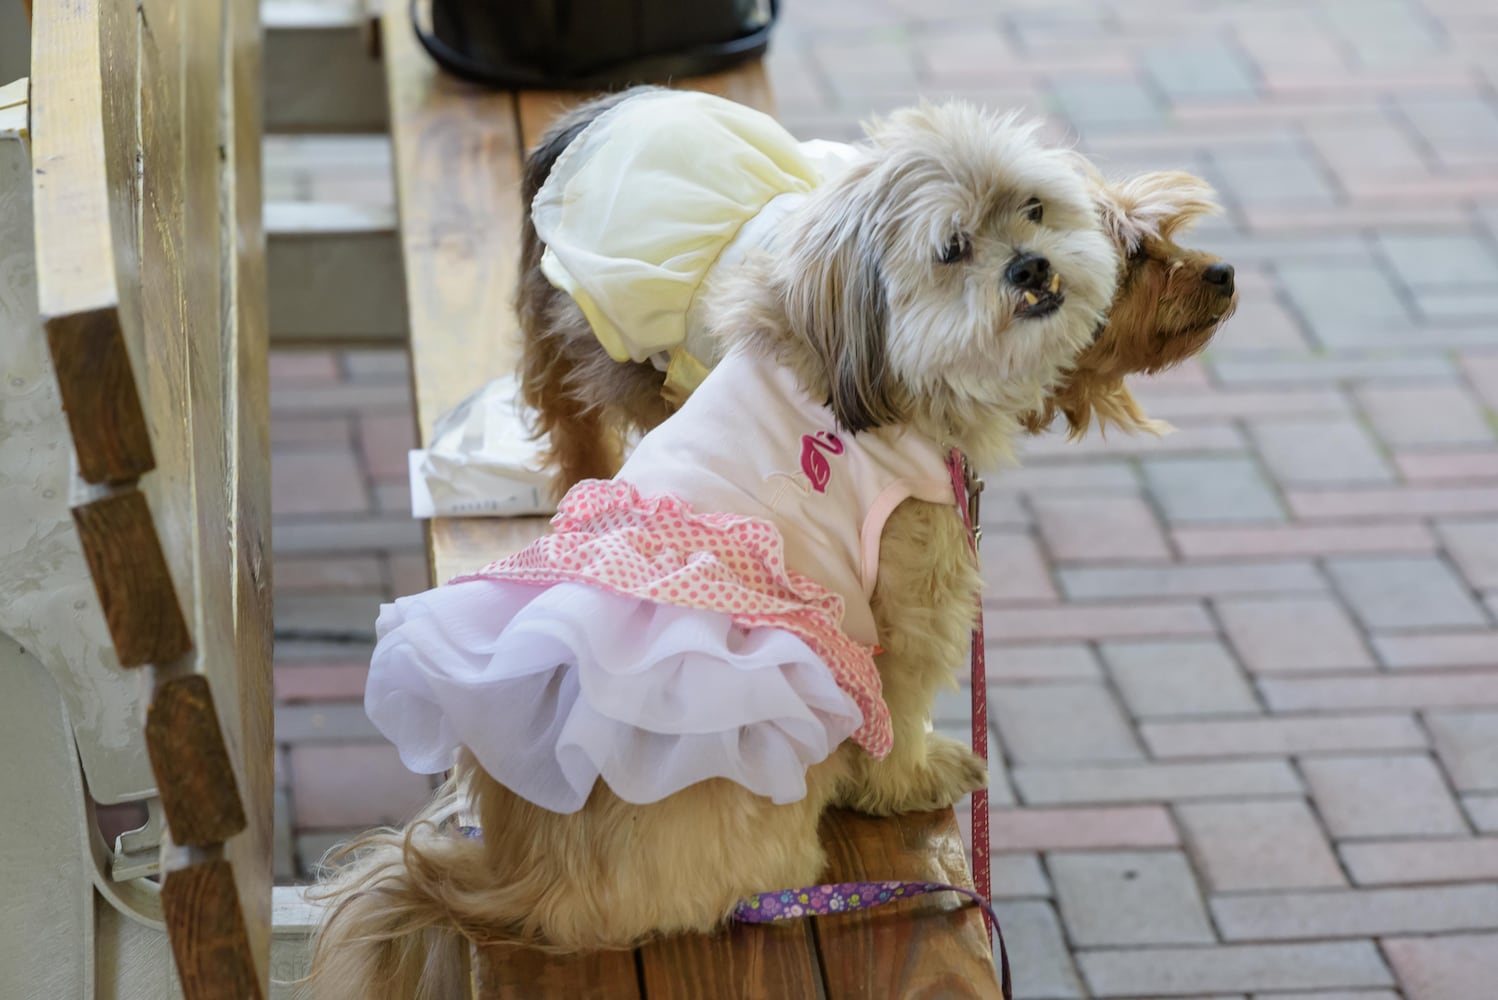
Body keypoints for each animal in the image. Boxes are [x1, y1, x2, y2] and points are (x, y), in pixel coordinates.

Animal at [310, 95, 1120, 999]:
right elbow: (900, 709)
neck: (873, 380)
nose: (1031, 268)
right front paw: (914, 776)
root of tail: (515, 882)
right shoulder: (910, 606)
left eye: (1035, 208)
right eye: (953, 249)